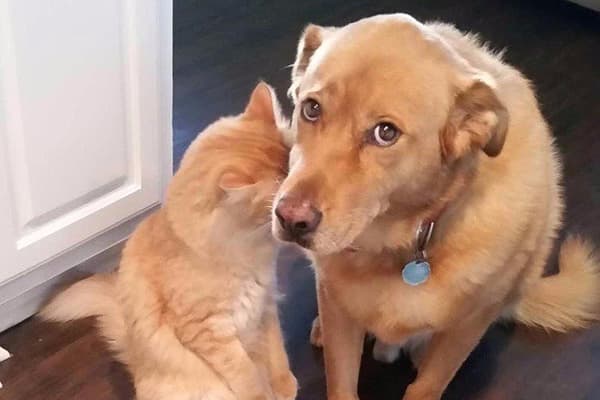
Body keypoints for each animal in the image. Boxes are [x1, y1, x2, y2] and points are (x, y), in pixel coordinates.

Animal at [41, 82, 296, 400]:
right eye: (275, 201)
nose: (294, 208)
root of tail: (136, 363)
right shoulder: (208, 330)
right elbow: (247, 375)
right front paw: (263, 394)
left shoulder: (266, 303)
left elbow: (277, 349)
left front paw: (285, 385)